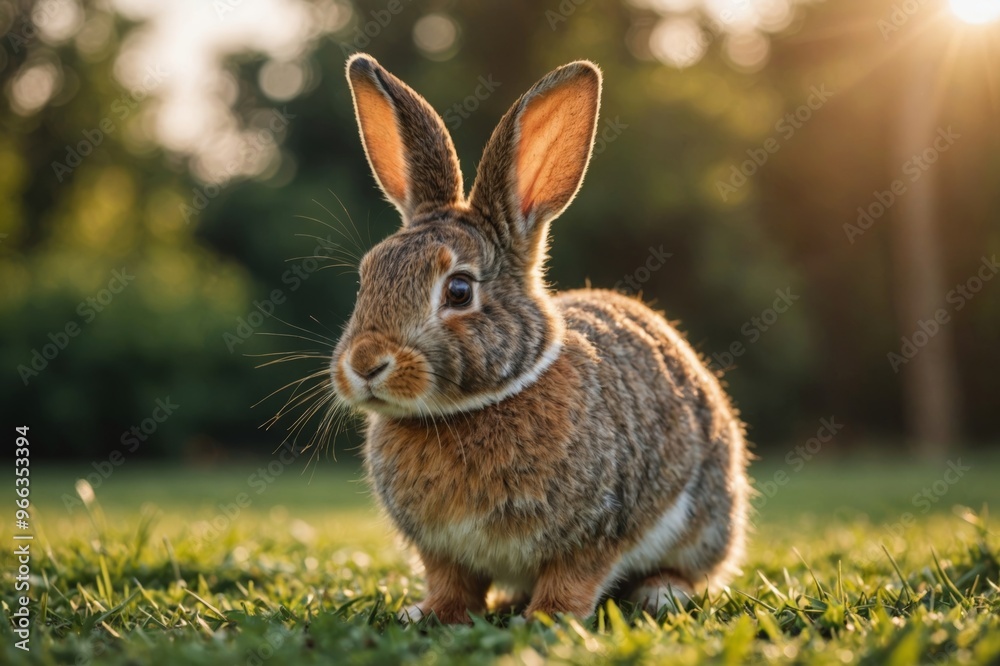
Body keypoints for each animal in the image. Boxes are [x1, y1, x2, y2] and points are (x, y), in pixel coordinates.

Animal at [330, 53, 751, 624]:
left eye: (459, 290)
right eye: (365, 277)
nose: (366, 363)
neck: (469, 408)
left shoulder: (596, 532)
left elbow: (573, 578)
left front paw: (548, 619)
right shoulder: (441, 551)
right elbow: (451, 582)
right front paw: (429, 613)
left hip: (706, 517)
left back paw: (660, 592)